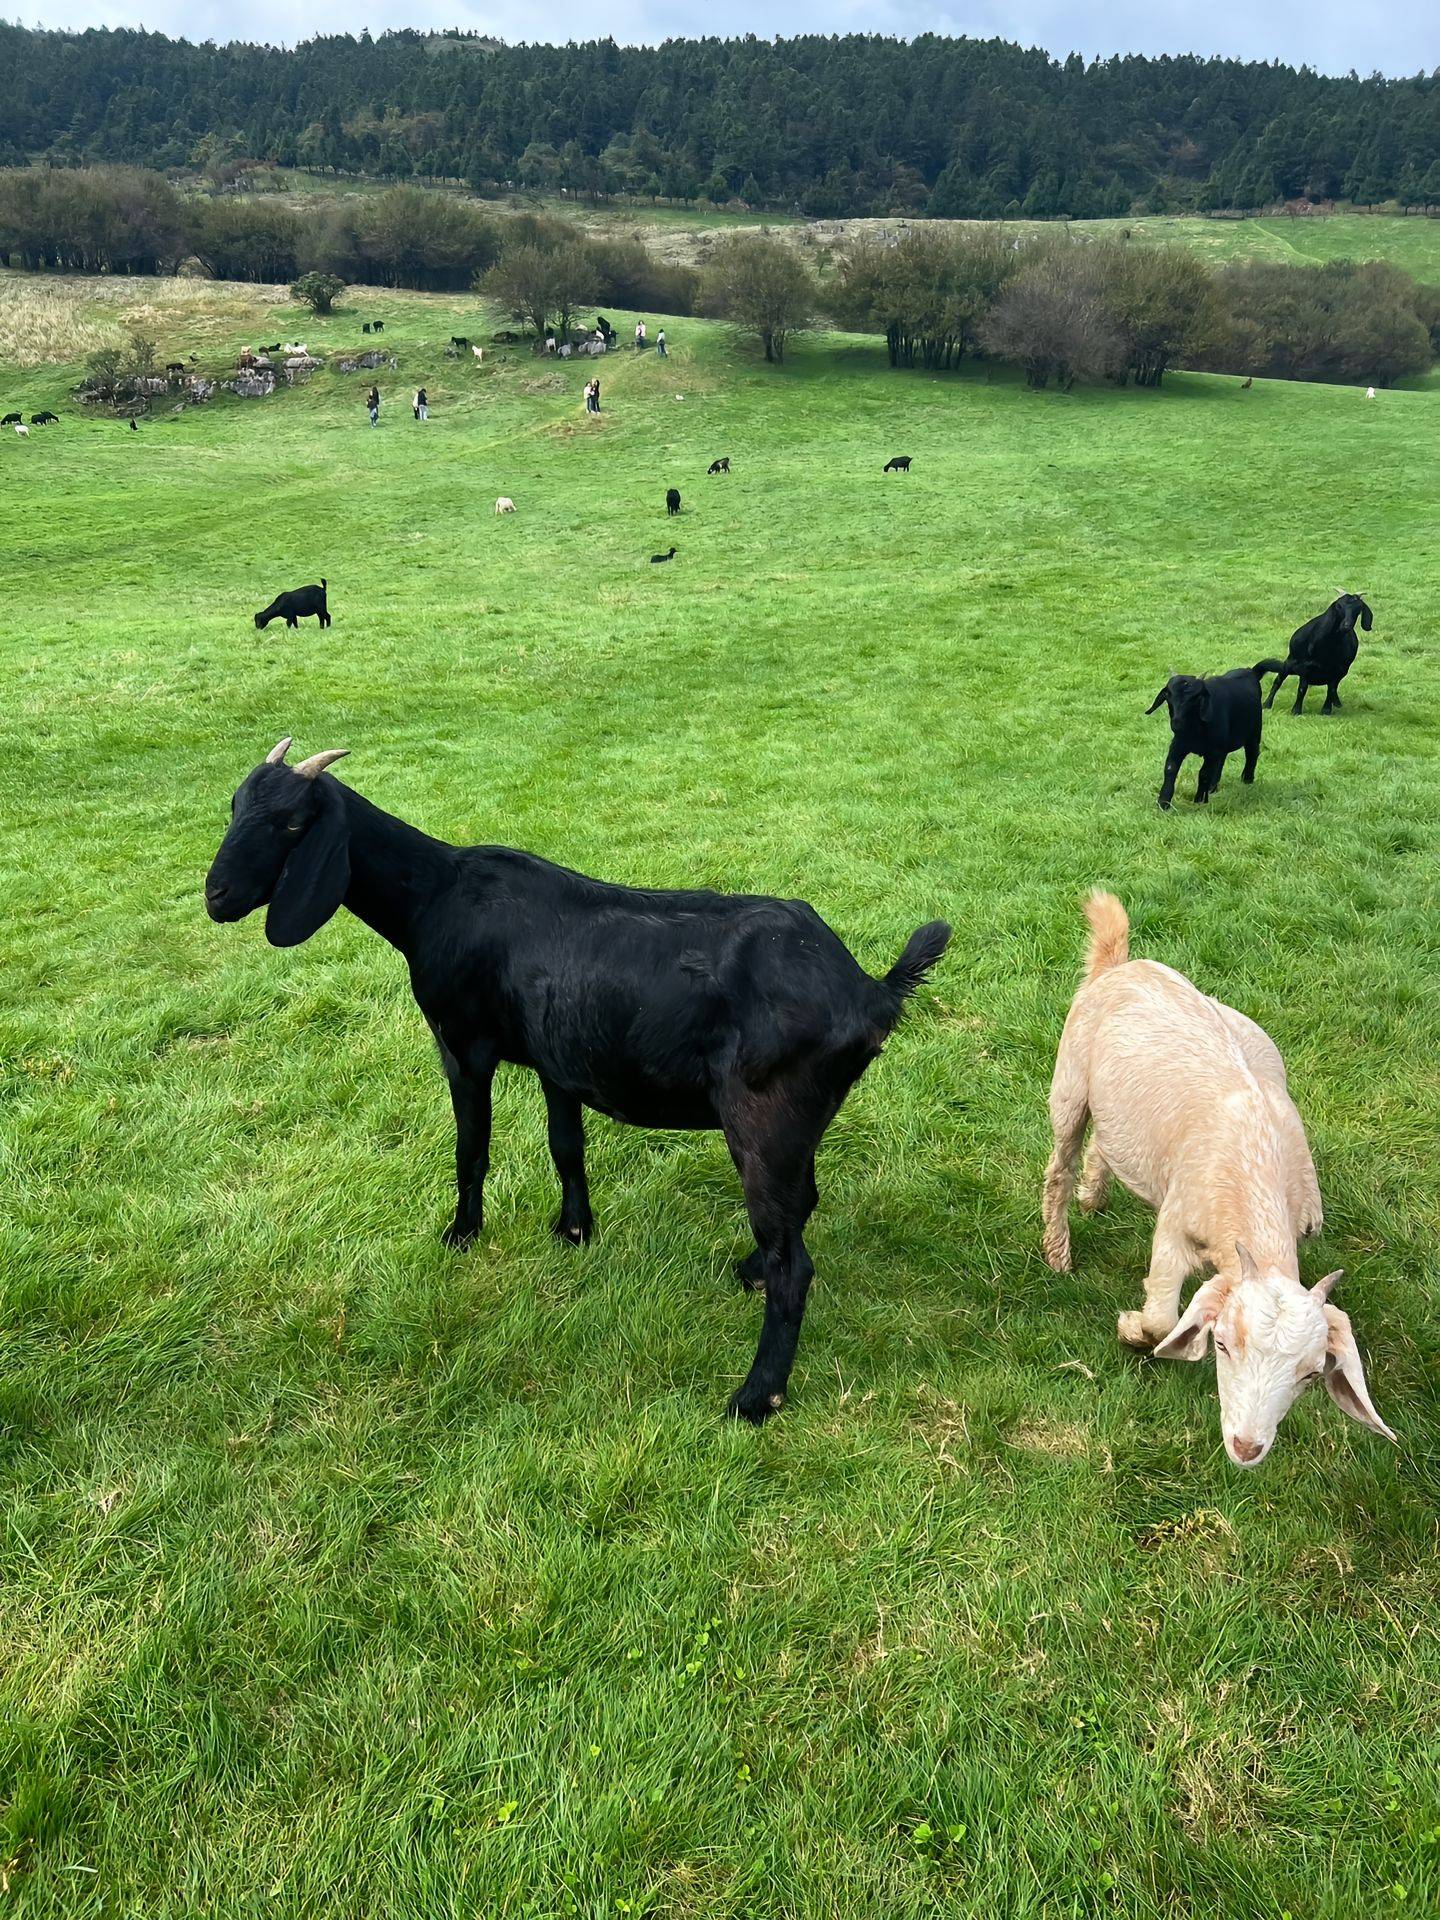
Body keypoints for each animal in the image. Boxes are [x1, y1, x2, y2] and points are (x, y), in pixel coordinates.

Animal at [200, 741, 948, 1420]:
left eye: (292, 824)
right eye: (235, 806)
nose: (217, 896)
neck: (435, 895)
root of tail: (870, 990)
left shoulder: (463, 1046)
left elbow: (471, 1149)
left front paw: (461, 1235)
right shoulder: (558, 1057)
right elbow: (567, 1146)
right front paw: (574, 1232)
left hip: (763, 1116)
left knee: (795, 1262)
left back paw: (755, 1397)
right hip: (800, 1119)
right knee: (799, 1207)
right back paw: (749, 1272)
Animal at [1044, 890, 1390, 1459]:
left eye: (1310, 1375)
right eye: (1223, 1344)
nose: (1247, 1447)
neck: (1257, 1167)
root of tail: (1120, 964)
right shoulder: (1175, 1226)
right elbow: (1163, 1319)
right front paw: (1132, 1330)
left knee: (1103, 1146)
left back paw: (1095, 1193)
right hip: (1069, 1084)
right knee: (1059, 1168)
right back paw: (1058, 1251)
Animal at [1144, 664, 1267, 806]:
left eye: (1195, 698)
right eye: (1168, 695)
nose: (1176, 723)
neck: (1194, 730)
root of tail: (1251, 671)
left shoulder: (1212, 751)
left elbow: (1203, 774)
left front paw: (1199, 799)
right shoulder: (1178, 744)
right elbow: (1170, 768)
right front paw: (1163, 802)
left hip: (1254, 731)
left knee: (1252, 753)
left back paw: (1247, 780)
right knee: (1222, 760)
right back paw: (1213, 787)